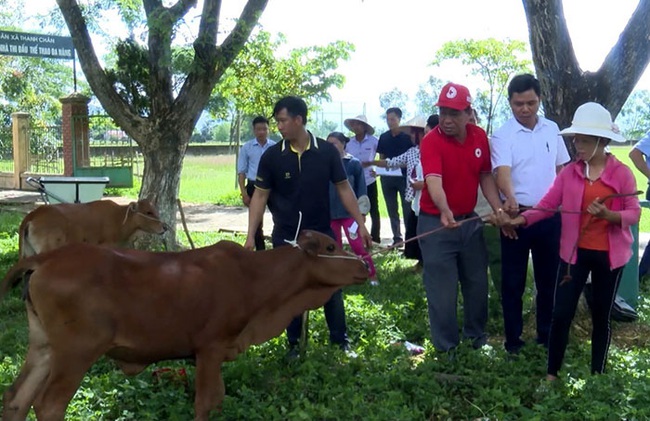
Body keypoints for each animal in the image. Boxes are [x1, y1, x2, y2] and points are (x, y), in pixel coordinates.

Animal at [0, 230, 368, 420]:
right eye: (331, 246)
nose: (364, 266)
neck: (253, 278)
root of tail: (45, 257)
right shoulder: (210, 348)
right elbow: (206, 401)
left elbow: (217, 398)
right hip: (76, 351)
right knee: (48, 404)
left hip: (44, 346)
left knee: (17, 398)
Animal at [18, 199, 167, 258]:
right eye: (148, 212)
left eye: (155, 210)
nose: (165, 227)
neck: (119, 219)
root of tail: (34, 213)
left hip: (29, 252)